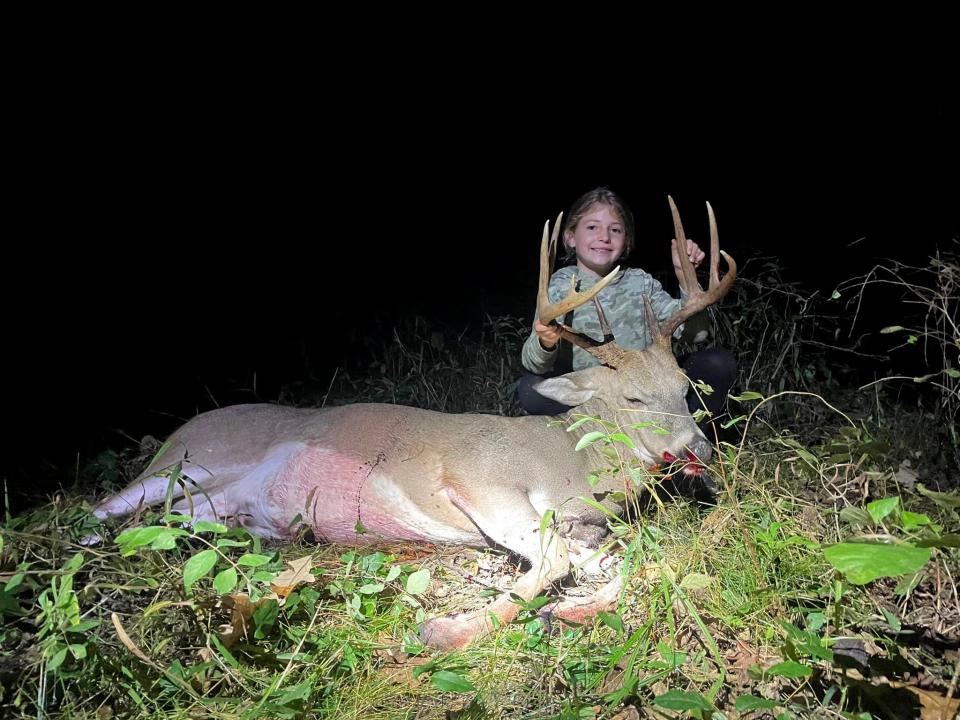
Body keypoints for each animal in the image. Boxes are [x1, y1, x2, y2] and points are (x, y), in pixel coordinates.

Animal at [94, 198, 736, 652]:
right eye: (633, 396)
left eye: (685, 389)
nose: (698, 450)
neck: (574, 463)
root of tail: (182, 433)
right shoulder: (481, 480)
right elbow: (552, 560)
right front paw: (446, 630)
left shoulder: (582, 526)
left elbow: (627, 561)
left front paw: (570, 611)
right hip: (184, 464)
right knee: (97, 513)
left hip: (208, 504)